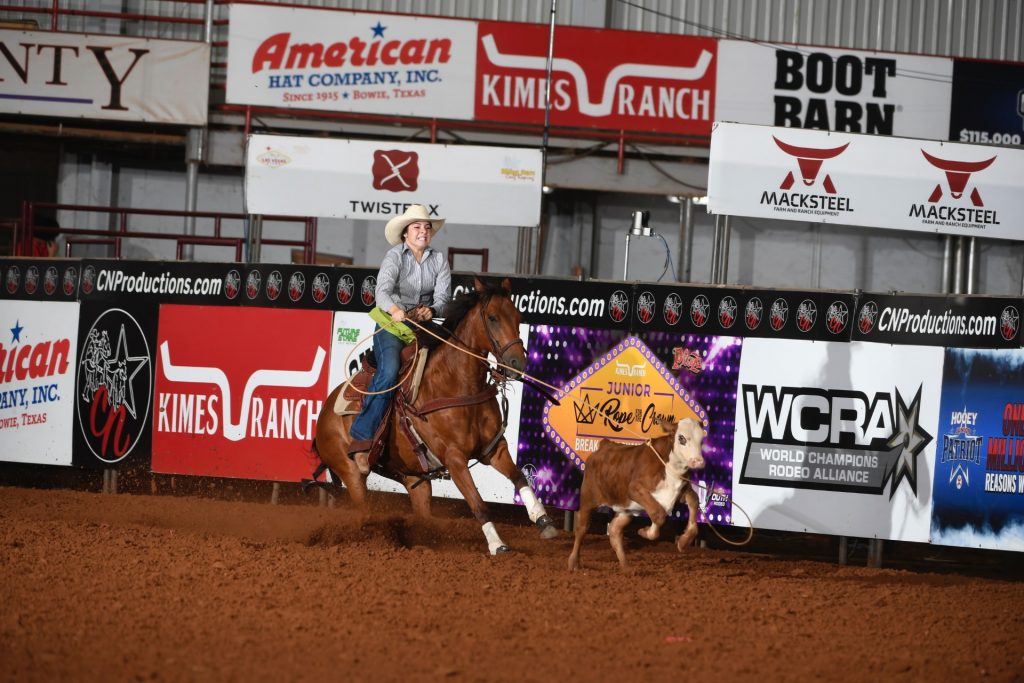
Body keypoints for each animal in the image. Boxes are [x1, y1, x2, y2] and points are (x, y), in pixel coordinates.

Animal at [315, 274, 565, 552]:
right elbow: (477, 502)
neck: (456, 383)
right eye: (492, 317)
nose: (517, 363)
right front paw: (497, 544)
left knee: (422, 511)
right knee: (363, 509)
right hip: (351, 473)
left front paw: (543, 521)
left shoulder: (494, 448)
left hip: (415, 480)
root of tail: (324, 413)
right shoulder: (454, 458)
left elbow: (520, 477)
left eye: (518, 316)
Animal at [569, 417, 704, 573]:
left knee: (614, 531)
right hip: (588, 497)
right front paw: (644, 532)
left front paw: (683, 541)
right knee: (582, 528)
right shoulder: (634, 489)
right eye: (681, 438)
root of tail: (604, 445)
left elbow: (694, 501)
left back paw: (626, 567)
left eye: (702, 439)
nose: (698, 461)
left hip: (626, 508)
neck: (669, 467)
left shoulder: (681, 491)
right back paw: (574, 563)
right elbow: (658, 514)